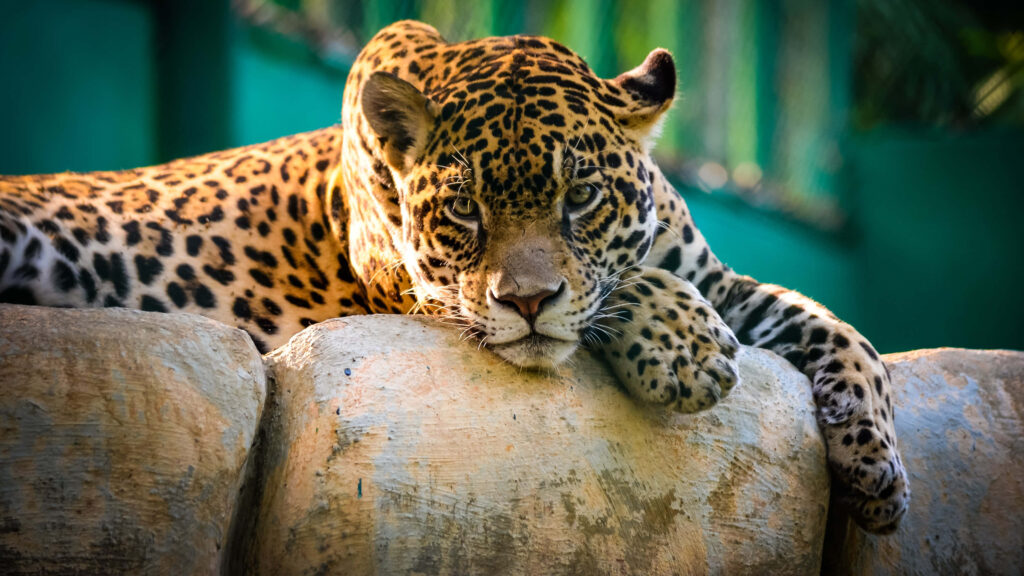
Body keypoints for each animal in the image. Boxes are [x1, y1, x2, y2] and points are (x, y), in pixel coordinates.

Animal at [0, 20, 908, 533]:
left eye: (581, 196)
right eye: (465, 210)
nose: (528, 301)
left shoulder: (721, 281)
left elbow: (839, 329)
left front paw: (877, 470)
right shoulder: (423, 295)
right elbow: (610, 296)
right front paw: (685, 349)